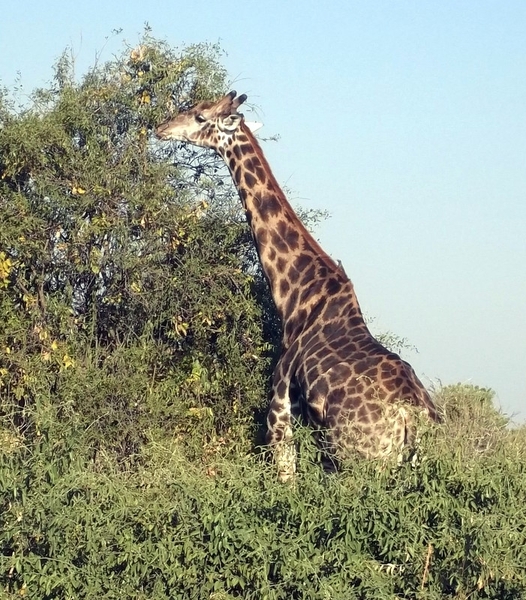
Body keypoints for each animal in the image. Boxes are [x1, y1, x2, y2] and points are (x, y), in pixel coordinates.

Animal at [157, 91, 442, 480]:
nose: (161, 128)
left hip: (360, 459)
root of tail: (413, 421)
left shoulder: (280, 404)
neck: (296, 293)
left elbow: (285, 477)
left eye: (200, 116)